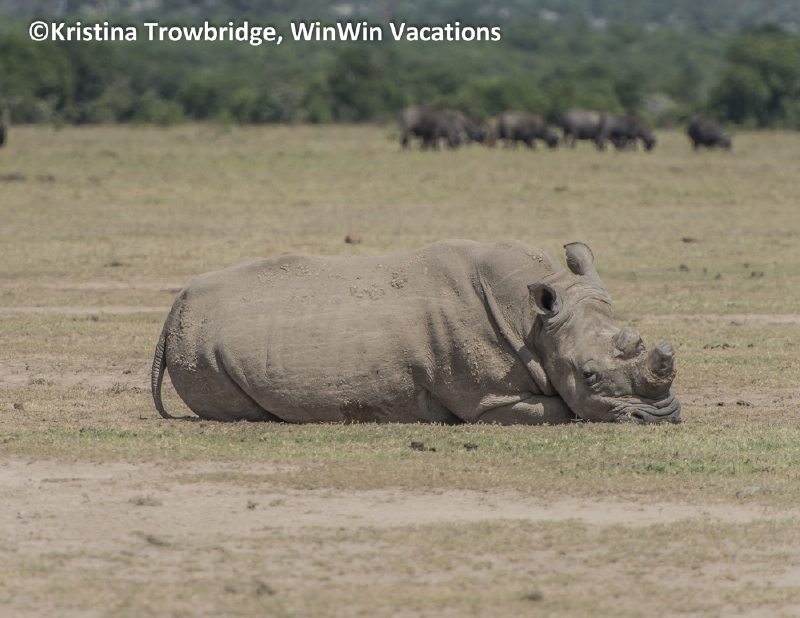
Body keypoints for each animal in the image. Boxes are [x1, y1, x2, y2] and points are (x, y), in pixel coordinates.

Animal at [152, 240, 680, 425]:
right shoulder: (487, 399)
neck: (534, 323)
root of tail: (172, 312)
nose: (663, 417)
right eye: (589, 376)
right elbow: (560, 410)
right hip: (200, 347)